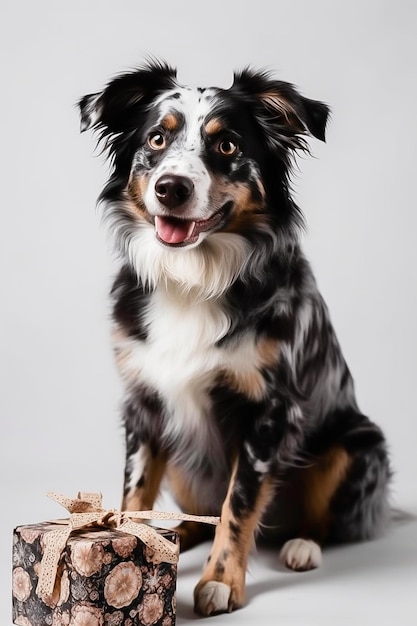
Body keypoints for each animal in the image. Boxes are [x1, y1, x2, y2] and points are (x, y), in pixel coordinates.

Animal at [78, 59, 390, 616]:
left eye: (227, 146)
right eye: (156, 139)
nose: (171, 187)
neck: (192, 279)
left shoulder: (268, 412)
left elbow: (237, 505)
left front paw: (221, 581)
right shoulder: (144, 404)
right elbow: (134, 497)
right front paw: (137, 544)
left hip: (357, 443)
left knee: (320, 520)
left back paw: (302, 545)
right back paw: (177, 533)